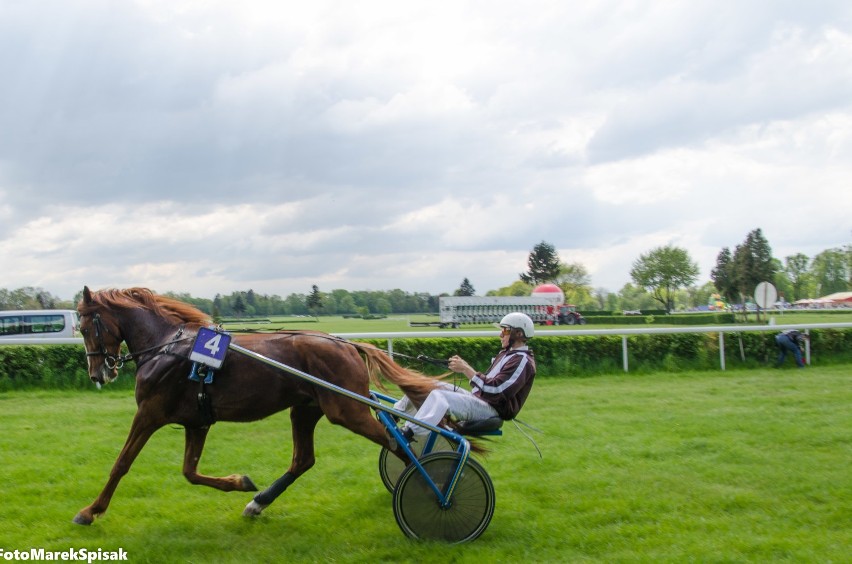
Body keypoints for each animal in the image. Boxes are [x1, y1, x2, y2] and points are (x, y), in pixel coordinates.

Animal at [73, 288, 446, 528]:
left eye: (85, 326)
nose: (98, 373)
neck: (167, 347)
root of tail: (346, 343)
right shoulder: (197, 421)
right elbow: (190, 472)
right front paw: (240, 483)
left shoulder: (150, 413)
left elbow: (121, 464)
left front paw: (90, 511)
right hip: (306, 409)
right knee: (303, 460)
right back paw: (258, 503)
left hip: (347, 410)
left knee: (396, 440)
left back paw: (434, 489)